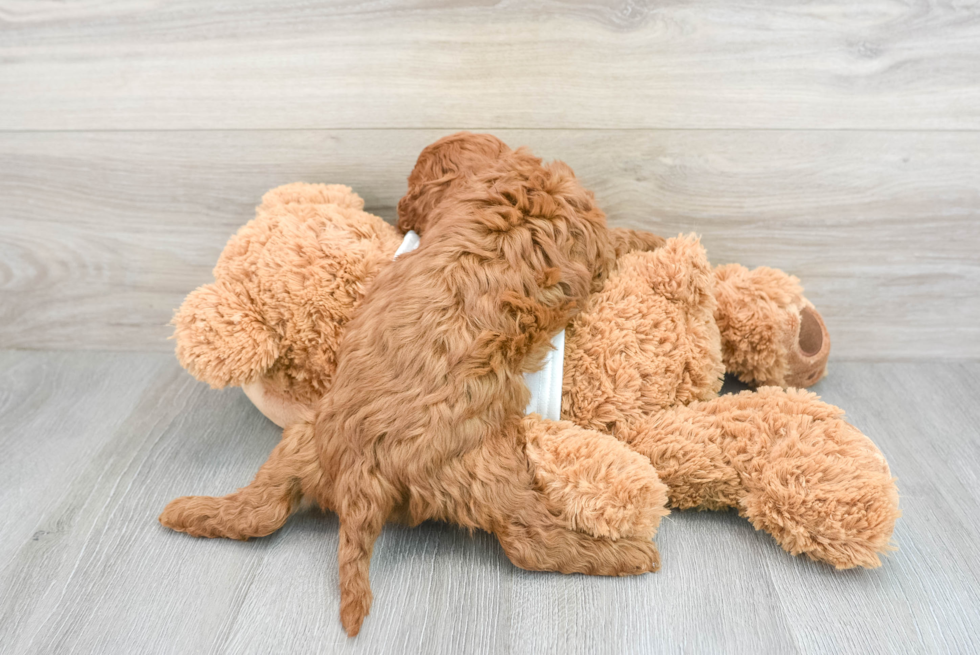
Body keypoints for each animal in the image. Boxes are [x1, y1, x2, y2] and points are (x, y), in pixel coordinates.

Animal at [163, 138, 668, 636]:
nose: (400, 216)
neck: (495, 175)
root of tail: (360, 472)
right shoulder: (593, 237)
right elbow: (620, 238)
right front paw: (655, 239)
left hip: (301, 439)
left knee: (263, 510)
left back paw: (189, 512)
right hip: (491, 470)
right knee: (530, 544)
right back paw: (626, 555)